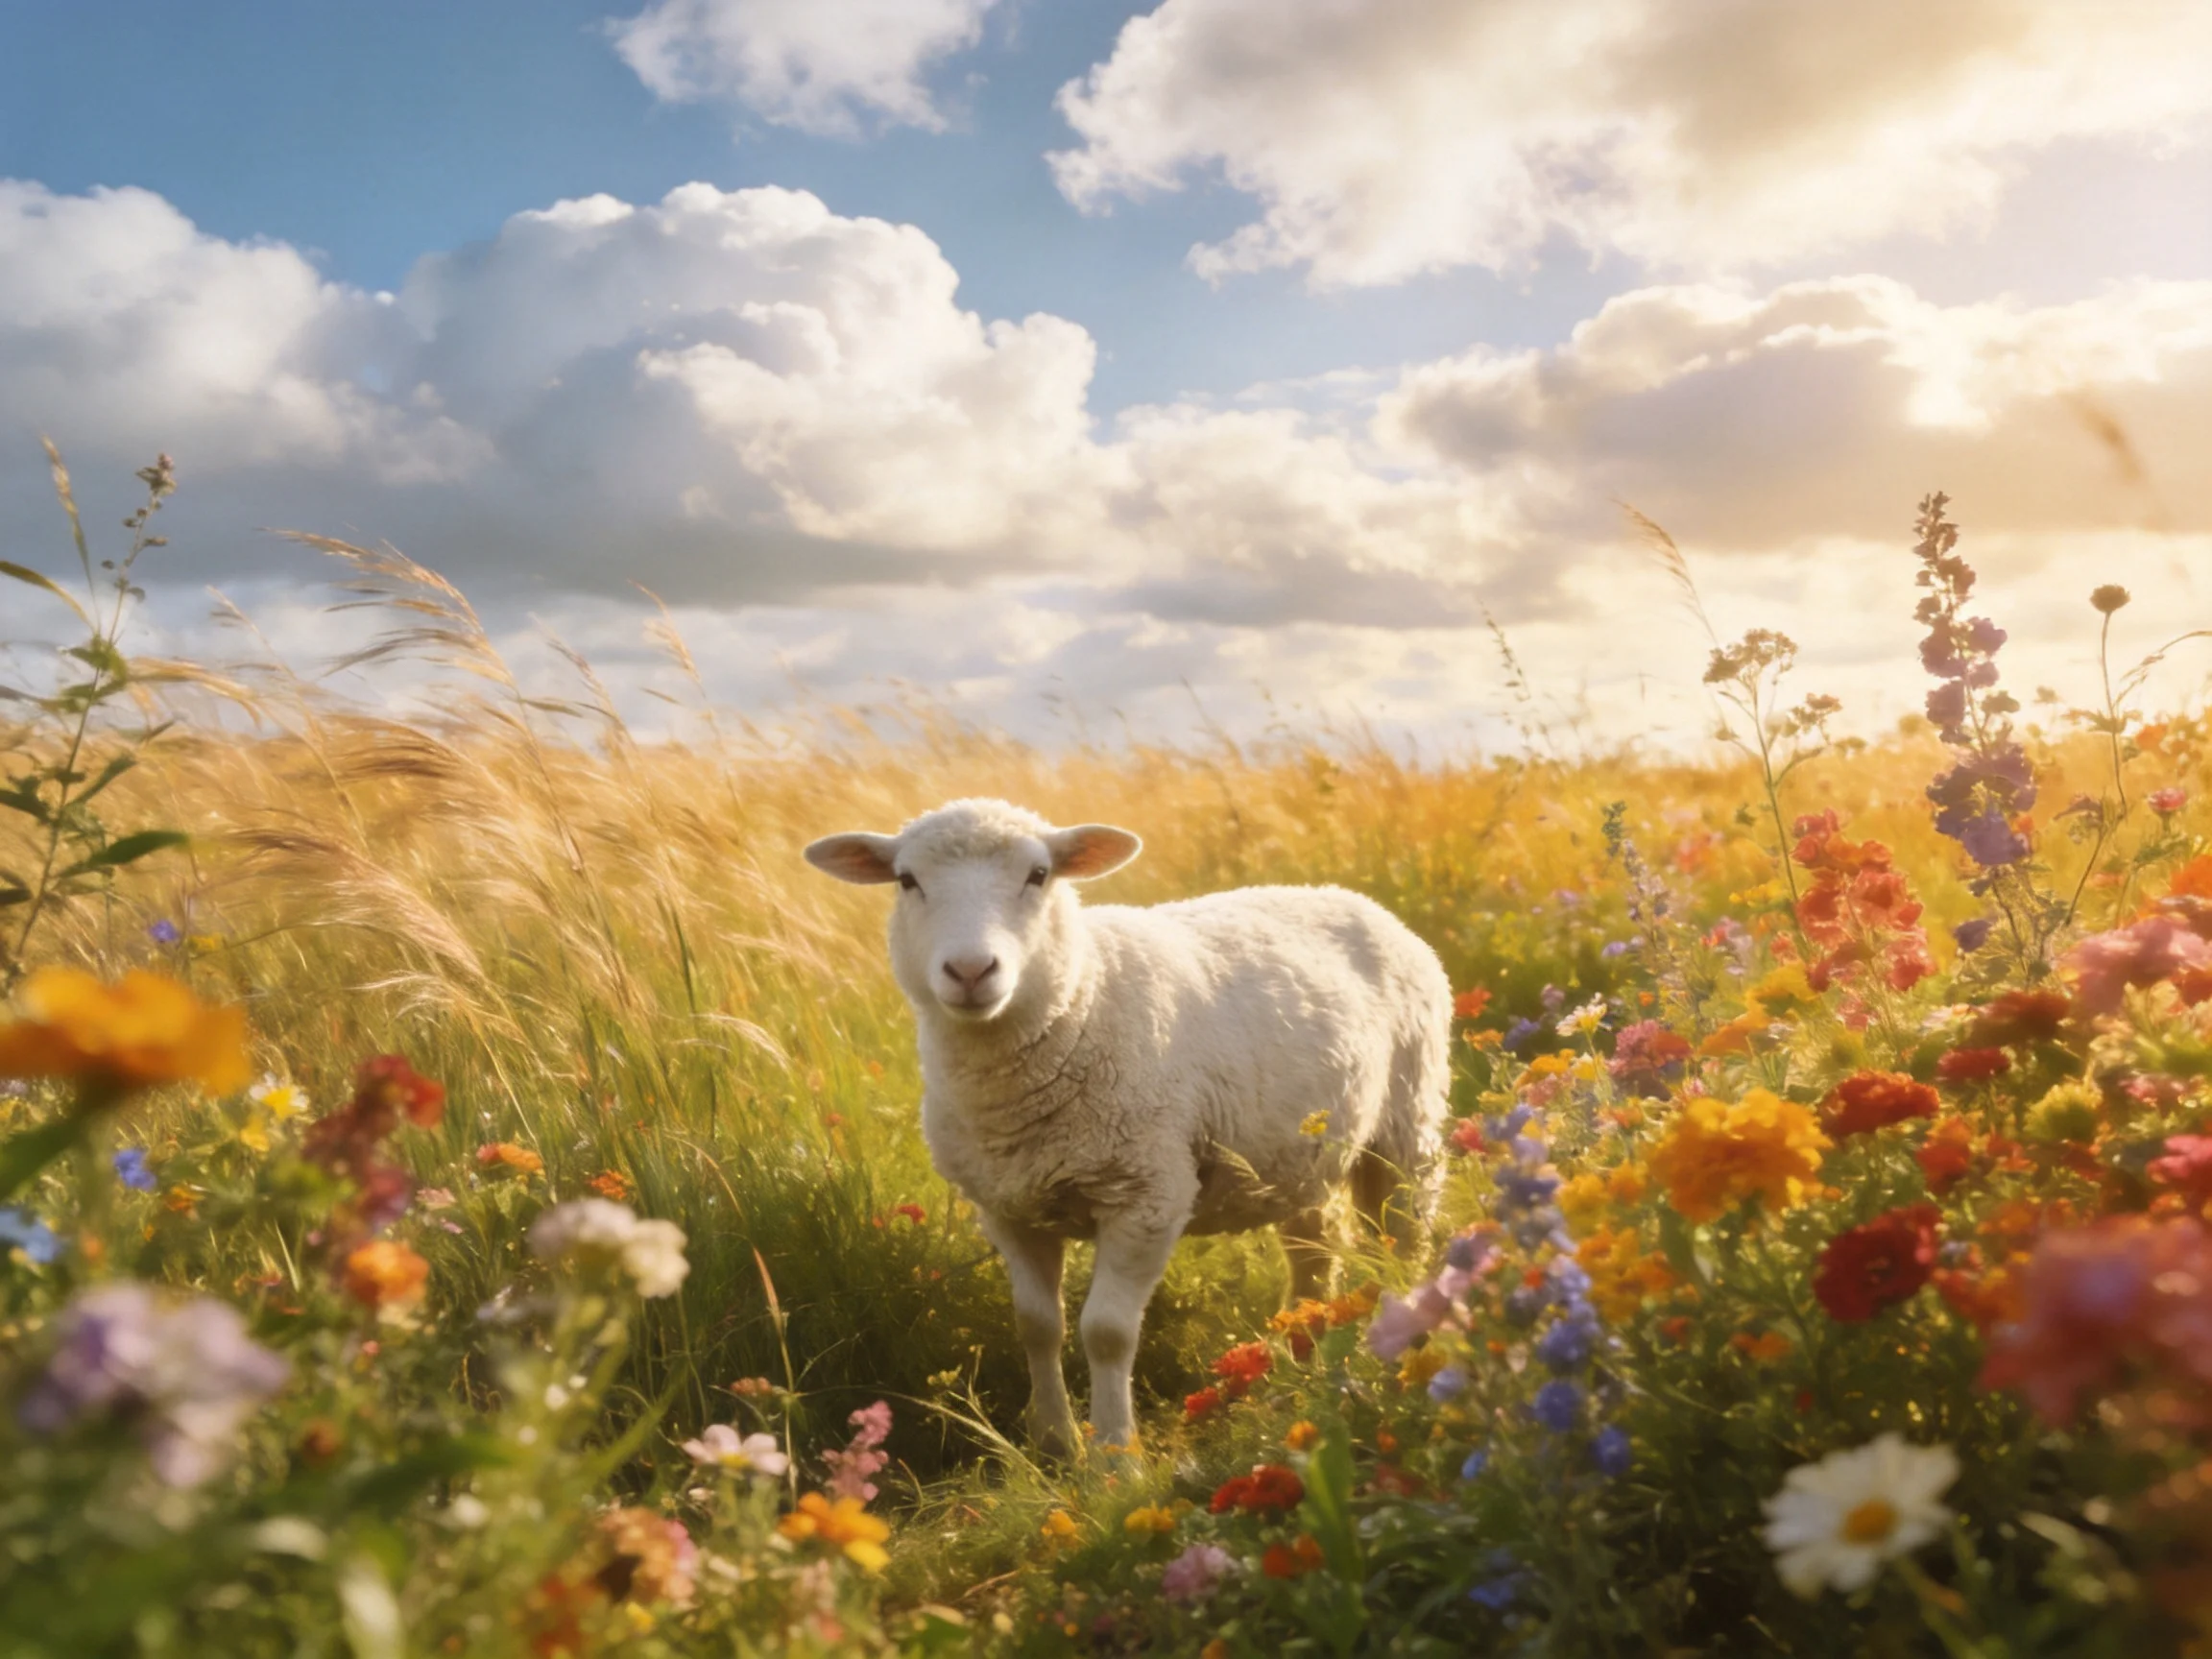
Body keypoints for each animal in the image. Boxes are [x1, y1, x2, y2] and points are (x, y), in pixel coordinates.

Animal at [804, 797, 1452, 1455]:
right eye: (907, 880)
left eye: (1039, 875)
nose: (969, 969)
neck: (1081, 999)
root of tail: (1345, 896)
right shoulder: (1007, 1208)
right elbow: (1037, 1326)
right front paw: (1054, 1442)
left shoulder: (1147, 1195)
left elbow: (1107, 1332)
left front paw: (1115, 1456)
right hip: (1300, 1155)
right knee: (1316, 1249)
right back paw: (1304, 1368)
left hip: (1409, 1122)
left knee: (1403, 1245)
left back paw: (1402, 1363)